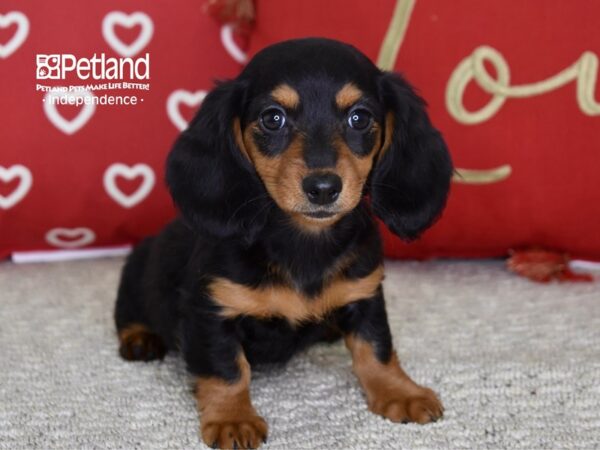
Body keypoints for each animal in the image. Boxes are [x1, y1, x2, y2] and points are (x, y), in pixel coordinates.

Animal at [113, 37, 450, 448]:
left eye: (359, 117)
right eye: (273, 118)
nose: (323, 188)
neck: (303, 243)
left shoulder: (365, 293)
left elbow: (376, 348)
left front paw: (400, 392)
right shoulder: (211, 311)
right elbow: (227, 369)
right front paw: (233, 419)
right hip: (134, 273)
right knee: (128, 314)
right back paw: (140, 338)